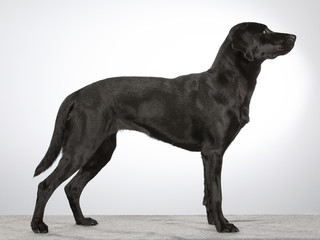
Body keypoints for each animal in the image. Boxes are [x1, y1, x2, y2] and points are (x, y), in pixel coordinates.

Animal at [31, 22, 296, 232]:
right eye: (265, 31)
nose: (294, 36)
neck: (227, 83)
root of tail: (76, 94)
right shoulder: (214, 152)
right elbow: (217, 193)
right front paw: (224, 226)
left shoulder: (207, 155)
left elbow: (207, 194)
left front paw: (213, 223)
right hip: (81, 147)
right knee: (46, 185)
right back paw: (38, 225)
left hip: (101, 151)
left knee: (72, 187)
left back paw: (83, 221)